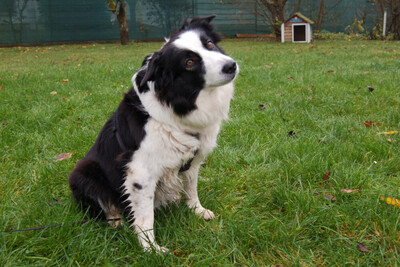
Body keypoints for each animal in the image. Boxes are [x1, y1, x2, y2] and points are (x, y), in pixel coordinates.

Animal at [68, 15, 239, 253]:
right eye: (189, 62)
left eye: (210, 44)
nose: (231, 66)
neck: (177, 106)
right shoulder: (140, 172)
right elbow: (145, 216)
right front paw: (151, 249)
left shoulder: (192, 159)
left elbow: (191, 187)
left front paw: (196, 210)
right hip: (83, 172)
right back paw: (115, 219)